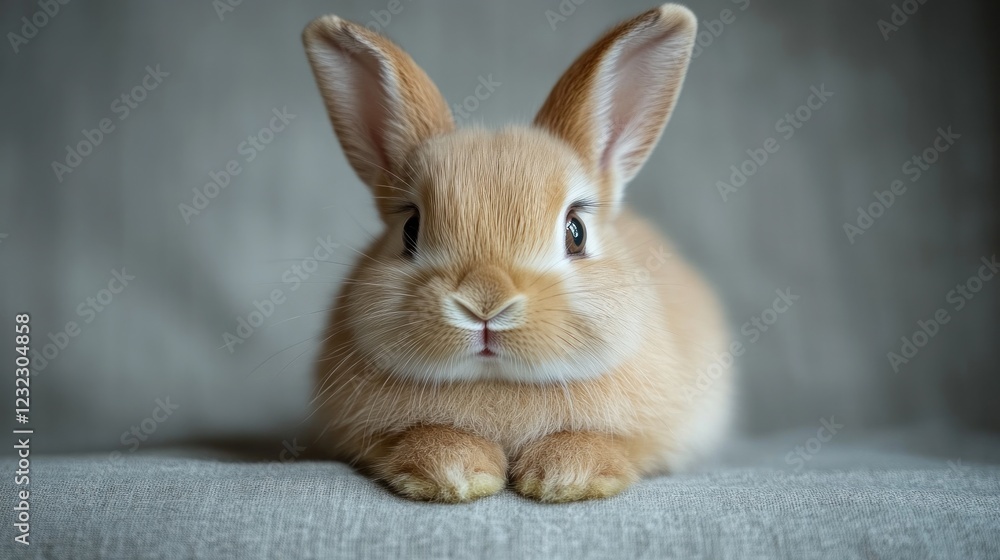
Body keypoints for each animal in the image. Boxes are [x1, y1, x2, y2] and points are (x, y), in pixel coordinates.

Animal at [301, 3, 733, 503]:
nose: (485, 303)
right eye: (410, 229)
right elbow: (422, 438)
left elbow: (608, 444)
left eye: (576, 232)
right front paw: (455, 474)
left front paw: (566, 477)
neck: (498, 380)